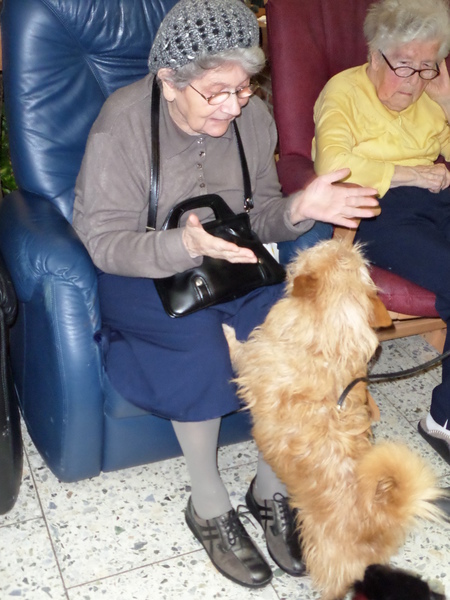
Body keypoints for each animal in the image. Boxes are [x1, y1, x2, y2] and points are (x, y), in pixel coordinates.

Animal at [223, 239, 447, 600]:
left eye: (318, 250)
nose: (336, 238)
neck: (328, 344)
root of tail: (383, 514)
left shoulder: (250, 363)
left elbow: (236, 347)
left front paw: (225, 330)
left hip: (328, 557)